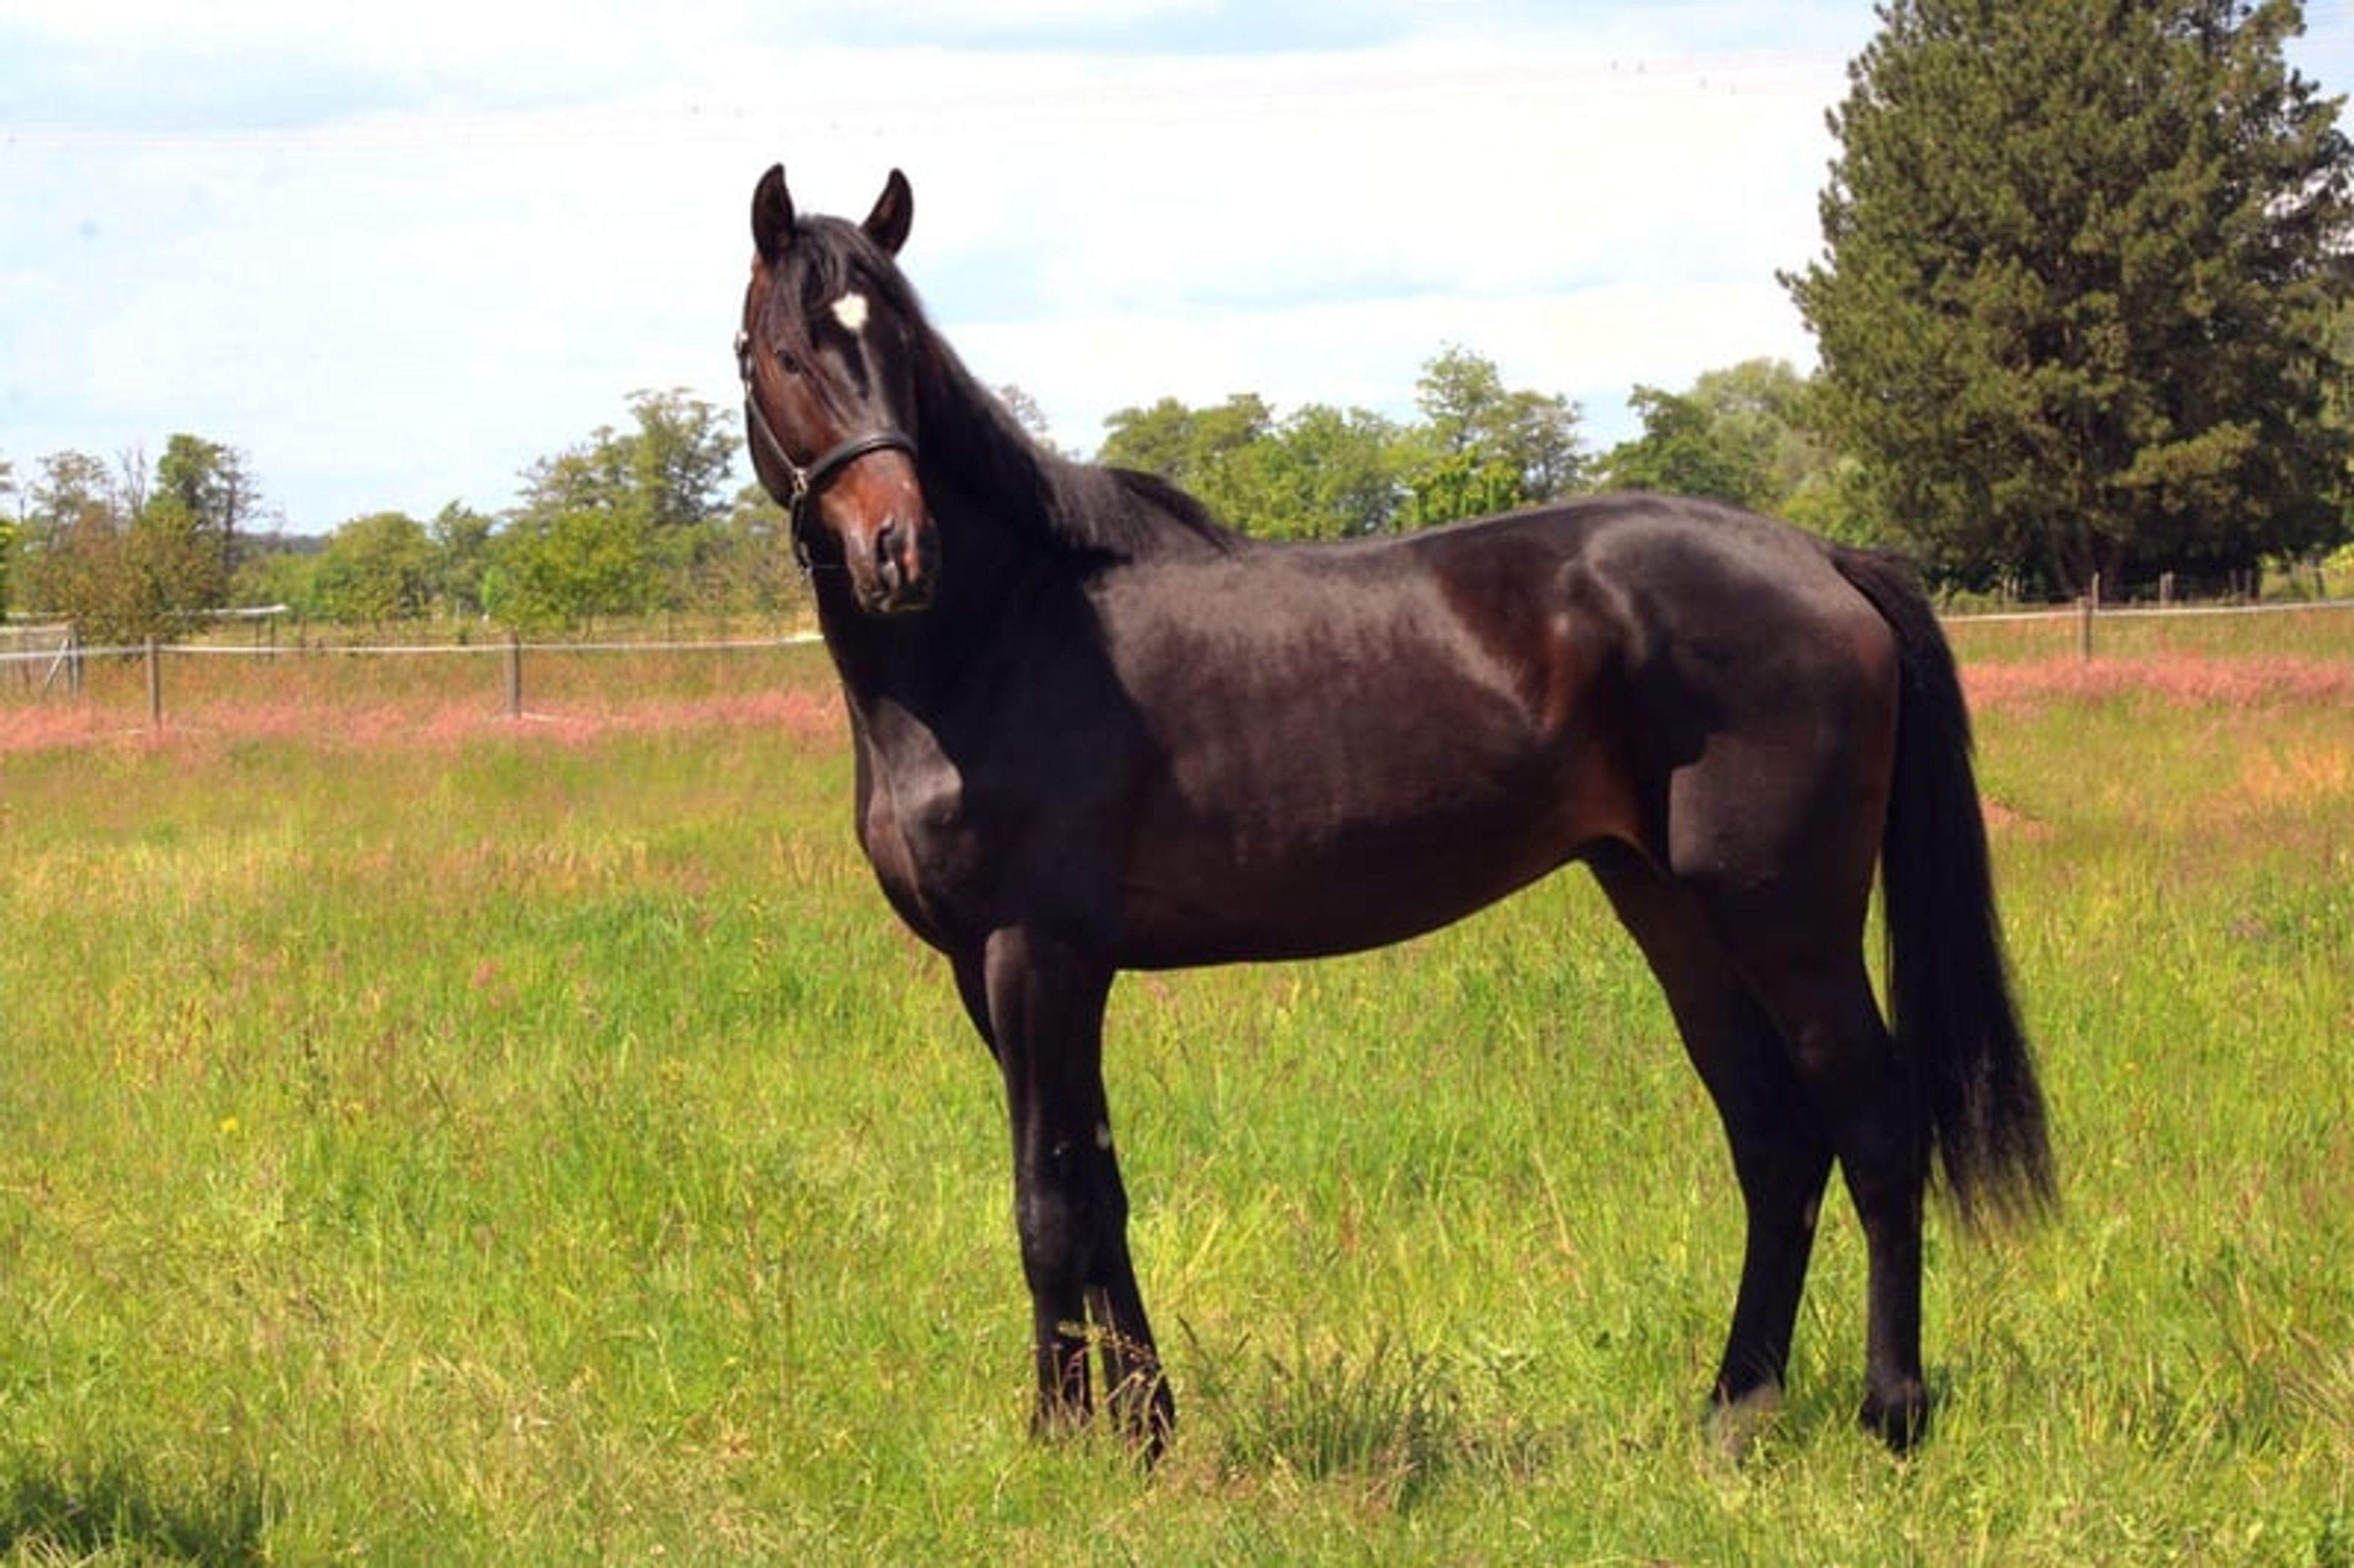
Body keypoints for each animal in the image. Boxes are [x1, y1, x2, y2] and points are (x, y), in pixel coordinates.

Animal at [734, 164, 2055, 1458]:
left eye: (900, 343)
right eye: (787, 351)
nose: (899, 550)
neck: (999, 639)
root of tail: (1826, 558)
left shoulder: (1035, 956)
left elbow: (1047, 1200)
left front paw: (1064, 1439)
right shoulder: (1002, 972)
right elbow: (1095, 1185)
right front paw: (1145, 1428)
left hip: (1790, 924)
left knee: (1875, 1123)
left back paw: (1893, 1412)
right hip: (1674, 912)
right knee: (1776, 1139)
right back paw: (1734, 1411)